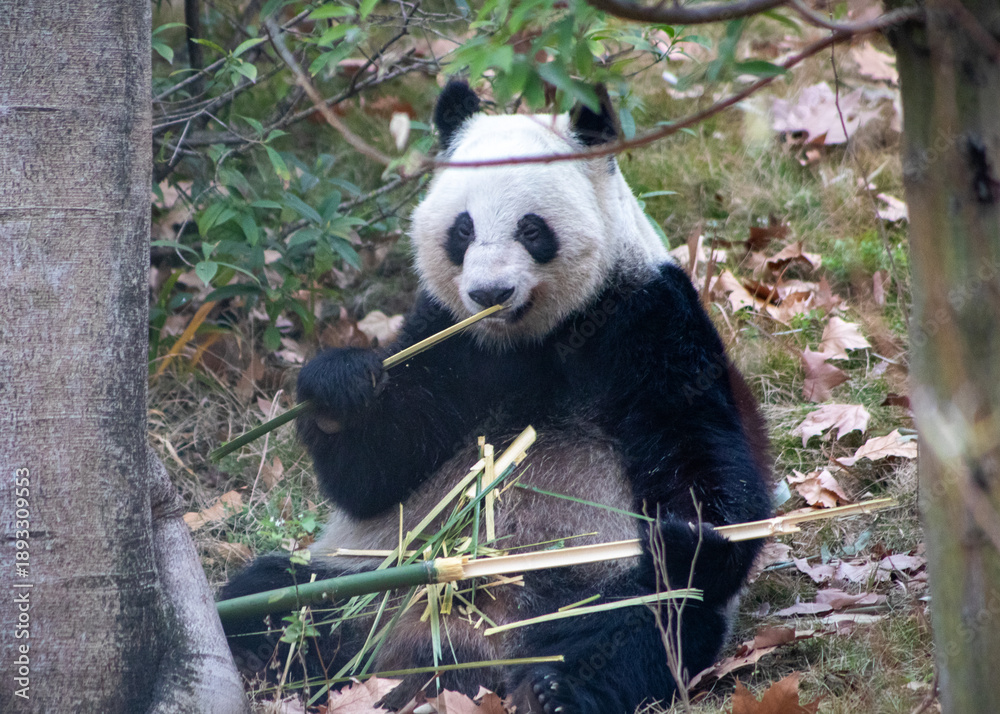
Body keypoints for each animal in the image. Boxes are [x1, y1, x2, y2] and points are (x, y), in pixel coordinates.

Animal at [221, 81, 772, 714]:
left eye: (532, 229)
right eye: (461, 229)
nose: (489, 292)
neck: (536, 337)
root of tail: (460, 649)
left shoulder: (648, 321)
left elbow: (700, 450)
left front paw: (691, 534)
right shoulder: (448, 337)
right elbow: (376, 472)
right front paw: (340, 390)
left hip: (586, 583)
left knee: (648, 622)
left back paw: (557, 688)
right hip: (368, 577)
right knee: (277, 595)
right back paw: (263, 655)